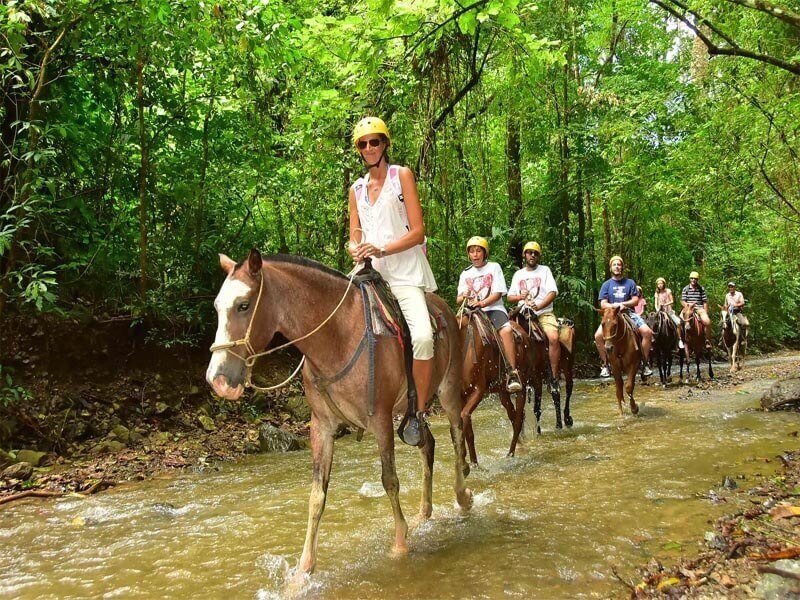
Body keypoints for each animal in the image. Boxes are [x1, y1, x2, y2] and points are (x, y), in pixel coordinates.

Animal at [205, 251, 476, 584]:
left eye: (243, 305)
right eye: (217, 306)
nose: (217, 380)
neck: (337, 337)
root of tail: (444, 307)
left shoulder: (381, 421)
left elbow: (389, 481)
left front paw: (400, 543)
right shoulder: (321, 427)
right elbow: (316, 495)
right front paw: (304, 569)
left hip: (448, 389)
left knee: (456, 433)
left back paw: (462, 497)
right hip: (413, 410)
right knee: (428, 444)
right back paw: (424, 513)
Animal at [456, 308, 532, 462]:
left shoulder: (478, 391)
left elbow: (465, 418)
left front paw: (474, 463)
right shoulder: (461, 395)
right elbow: (467, 429)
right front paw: (472, 462)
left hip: (521, 387)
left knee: (518, 420)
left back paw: (511, 453)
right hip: (503, 391)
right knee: (513, 415)